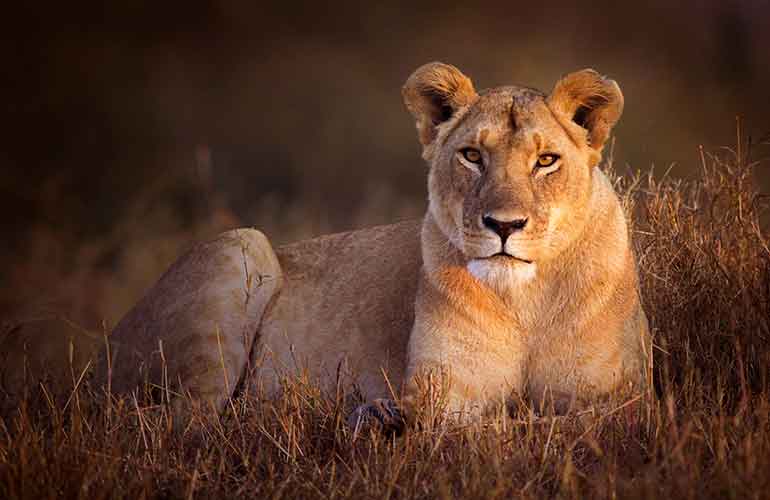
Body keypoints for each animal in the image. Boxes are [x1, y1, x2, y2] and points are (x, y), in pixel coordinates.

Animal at [2, 62, 650, 427]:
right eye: (472, 155)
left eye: (546, 161)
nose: (504, 225)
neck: (524, 300)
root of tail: (96, 363)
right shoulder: (441, 395)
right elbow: (479, 430)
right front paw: (384, 417)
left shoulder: (619, 397)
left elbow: (570, 424)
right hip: (240, 247)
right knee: (182, 426)